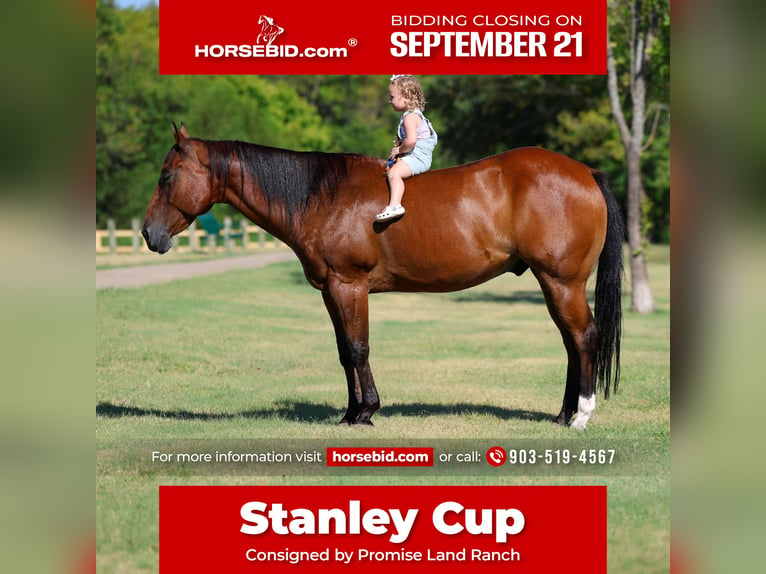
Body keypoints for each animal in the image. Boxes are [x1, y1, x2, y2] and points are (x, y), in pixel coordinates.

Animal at [142, 123, 623, 429]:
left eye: (166, 176)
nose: (149, 234)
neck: (321, 197)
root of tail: (586, 172)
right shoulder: (331, 290)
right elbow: (344, 352)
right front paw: (350, 413)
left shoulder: (349, 285)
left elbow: (358, 348)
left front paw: (366, 413)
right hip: (554, 284)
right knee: (571, 342)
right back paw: (563, 414)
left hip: (562, 283)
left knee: (583, 338)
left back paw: (581, 415)